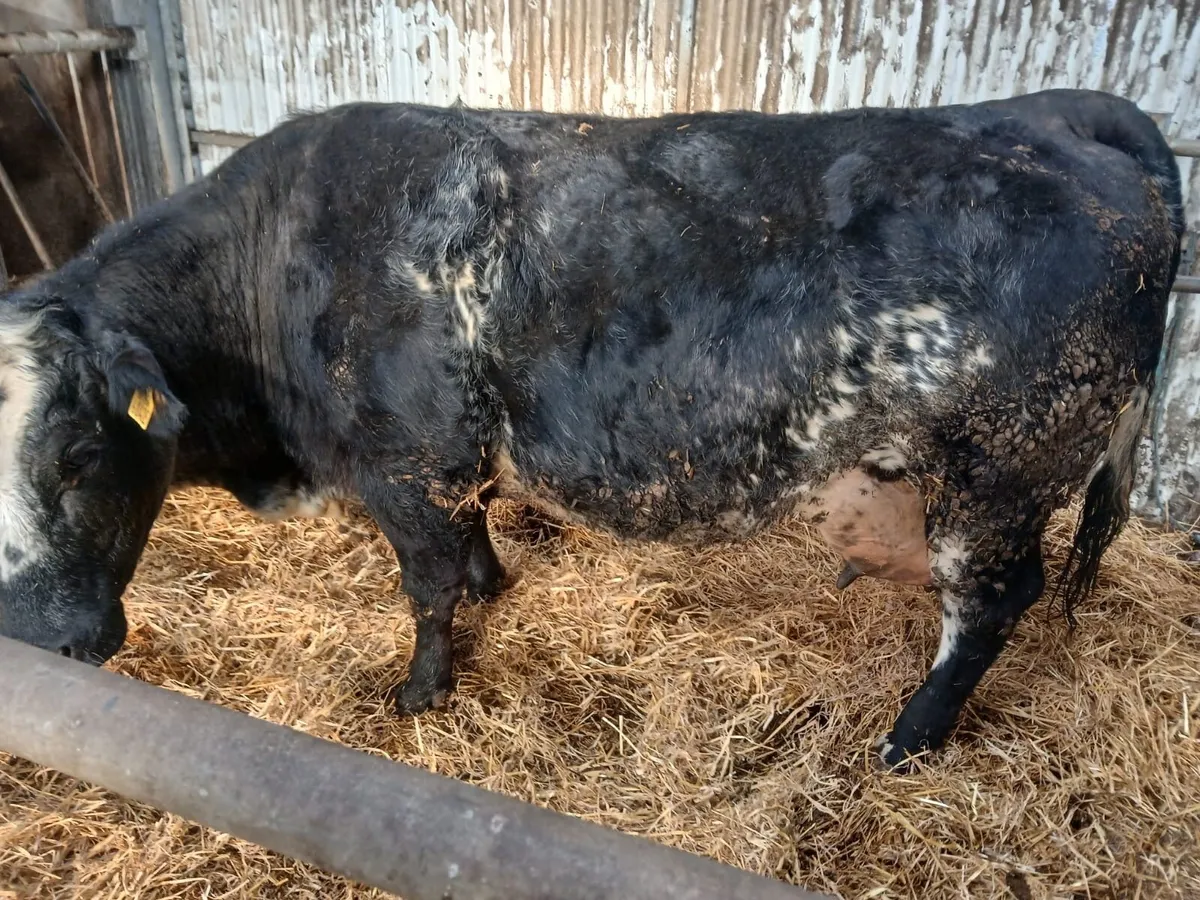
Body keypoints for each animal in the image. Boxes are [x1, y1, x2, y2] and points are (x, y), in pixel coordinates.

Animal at [0, 88, 1182, 769]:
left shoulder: (406, 462)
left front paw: (422, 693)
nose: (39, 646)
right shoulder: (456, 458)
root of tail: (1055, 113)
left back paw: (908, 740)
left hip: (999, 476)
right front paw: (493, 592)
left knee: (988, 608)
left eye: (78, 453)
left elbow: (425, 589)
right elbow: (473, 545)